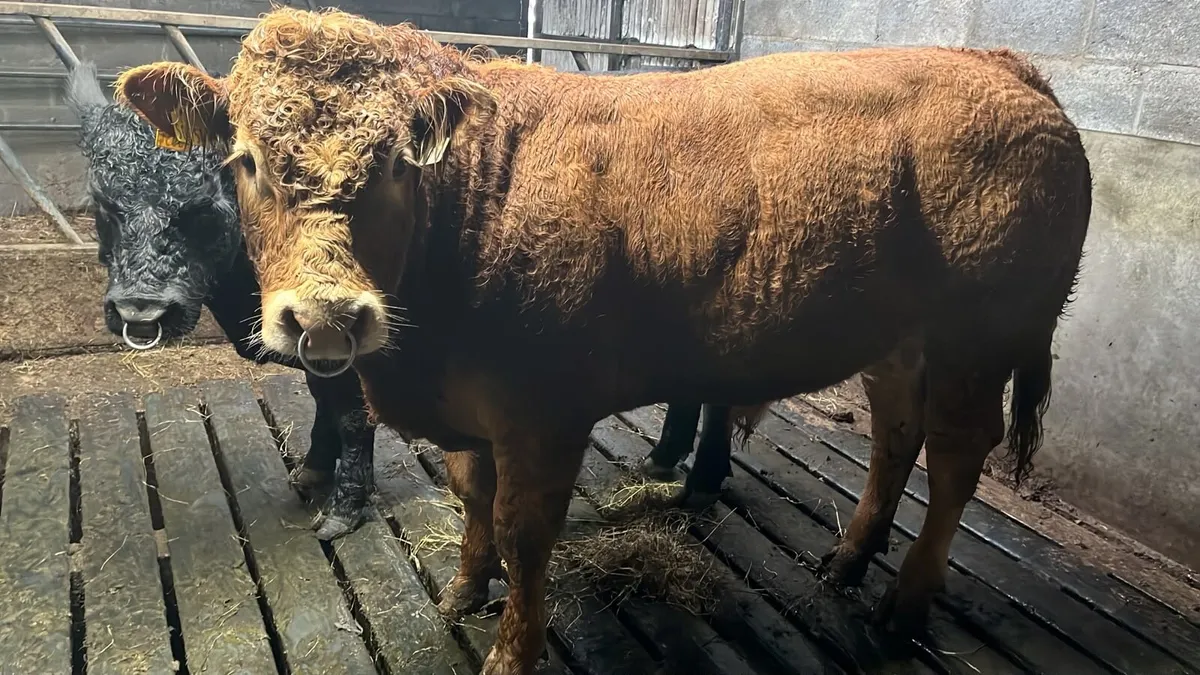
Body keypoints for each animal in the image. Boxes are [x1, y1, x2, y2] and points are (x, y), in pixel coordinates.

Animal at [63, 60, 378, 540]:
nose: (141, 311)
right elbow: (324, 401)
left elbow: (352, 415)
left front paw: (345, 508)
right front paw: (313, 471)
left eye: (203, 206)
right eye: (104, 205)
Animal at [115, 9, 1091, 674]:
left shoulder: (544, 411)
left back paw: (903, 601)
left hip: (979, 338)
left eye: (393, 160)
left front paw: (514, 646)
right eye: (243, 159)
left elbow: (524, 530)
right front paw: (463, 589)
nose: (324, 316)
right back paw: (850, 557)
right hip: (899, 342)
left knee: (958, 457)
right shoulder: (474, 411)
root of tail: (1000, 65)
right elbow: (471, 497)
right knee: (895, 434)